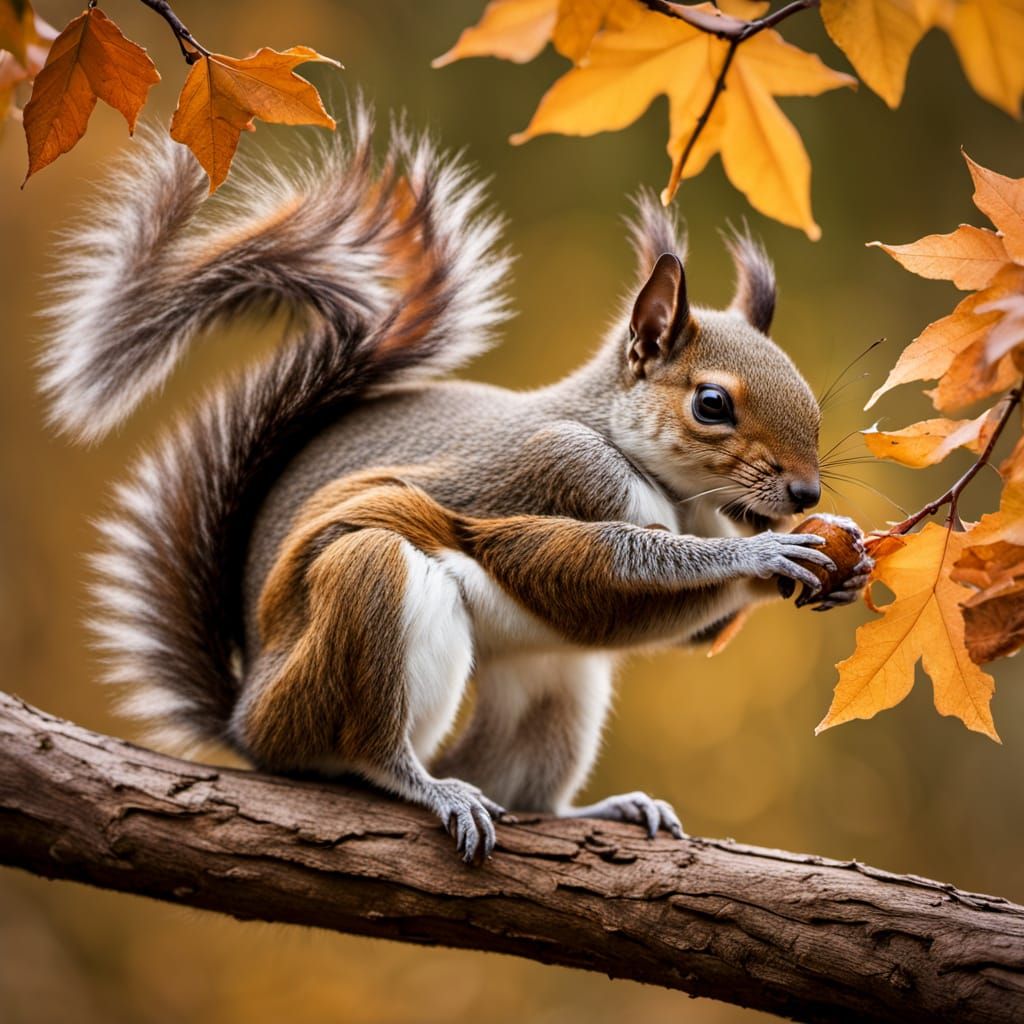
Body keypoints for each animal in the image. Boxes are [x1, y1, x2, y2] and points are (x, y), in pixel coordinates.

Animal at [40, 109, 867, 863]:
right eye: (712, 404)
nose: (807, 496)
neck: (678, 495)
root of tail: (245, 723)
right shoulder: (554, 475)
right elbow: (591, 570)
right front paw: (762, 557)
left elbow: (689, 627)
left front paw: (838, 560)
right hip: (362, 595)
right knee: (364, 751)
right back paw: (429, 786)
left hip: (555, 684)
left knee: (523, 788)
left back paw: (601, 809)